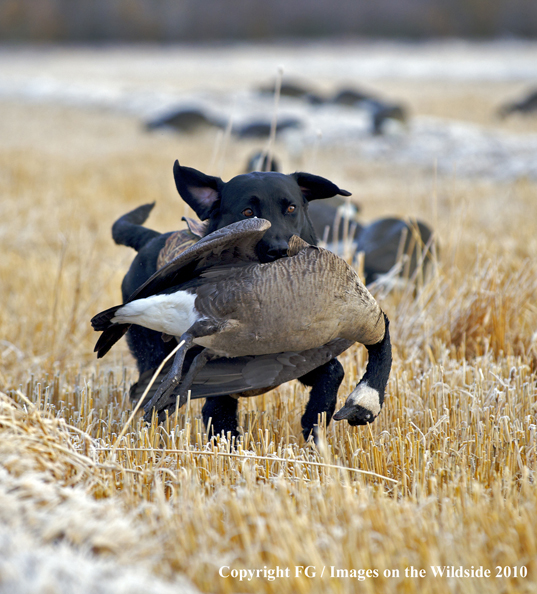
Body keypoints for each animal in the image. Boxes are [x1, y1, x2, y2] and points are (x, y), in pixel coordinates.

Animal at [112, 160, 352, 438]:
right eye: (247, 212)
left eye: (291, 208)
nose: (280, 250)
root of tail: (149, 239)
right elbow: (221, 419)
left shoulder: (290, 355)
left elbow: (333, 371)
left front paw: (315, 417)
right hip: (150, 350)